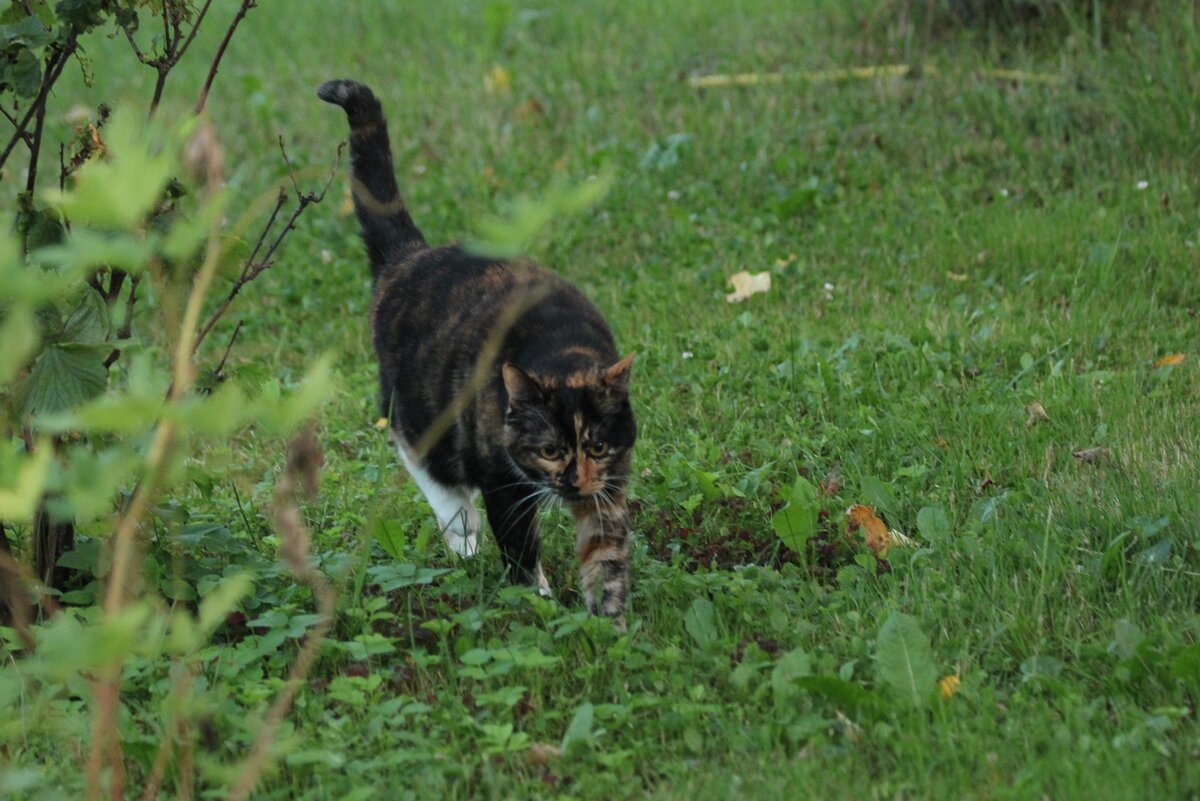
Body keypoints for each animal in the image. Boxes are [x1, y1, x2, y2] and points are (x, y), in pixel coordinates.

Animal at [319, 79, 638, 618]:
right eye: (549, 450)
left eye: (596, 445)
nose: (573, 482)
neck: (562, 349)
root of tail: (410, 256)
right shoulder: (502, 481)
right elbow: (520, 550)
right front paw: (540, 606)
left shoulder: (609, 481)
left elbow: (605, 549)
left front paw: (608, 616)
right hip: (419, 414)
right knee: (425, 466)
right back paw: (463, 537)